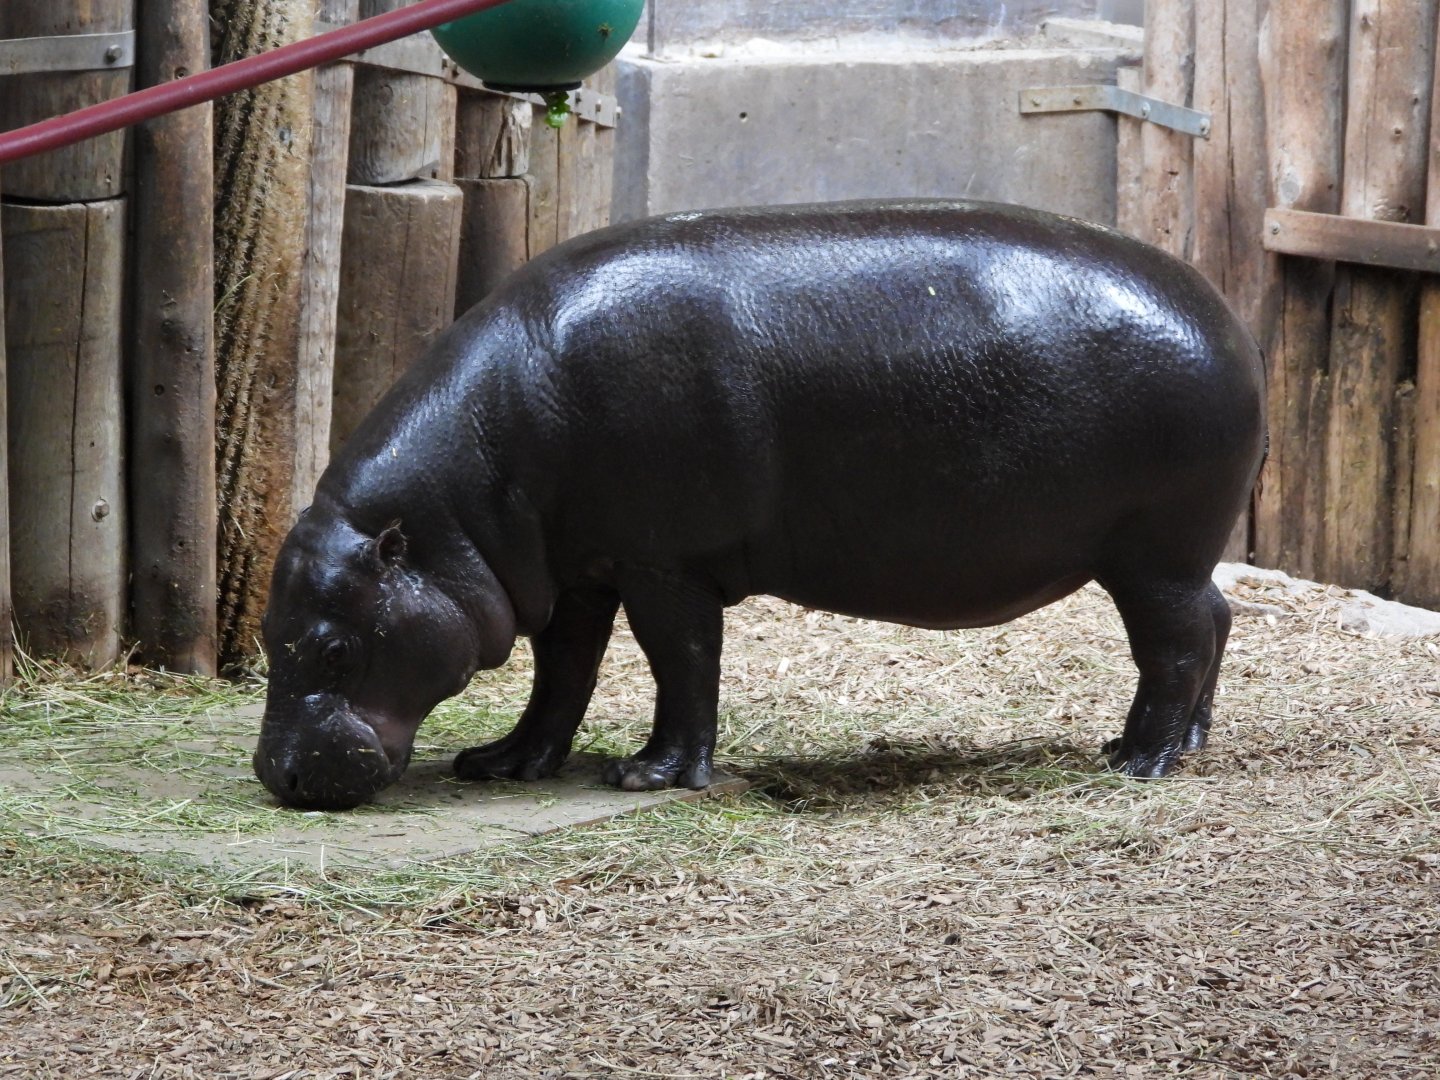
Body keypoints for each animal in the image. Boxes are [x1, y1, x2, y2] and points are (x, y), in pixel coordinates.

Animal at [252, 199, 1266, 811]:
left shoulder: (664, 563)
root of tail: (1230, 319)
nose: (277, 774)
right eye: (269, 636)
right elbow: (563, 670)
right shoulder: (580, 568)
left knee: (1175, 643)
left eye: (336, 647)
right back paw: (1180, 746)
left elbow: (682, 661)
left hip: (1152, 553)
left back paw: (1137, 760)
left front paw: (651, 775)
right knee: (1217, 620)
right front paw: (505, 763)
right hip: (1170, 557)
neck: (459, 505)